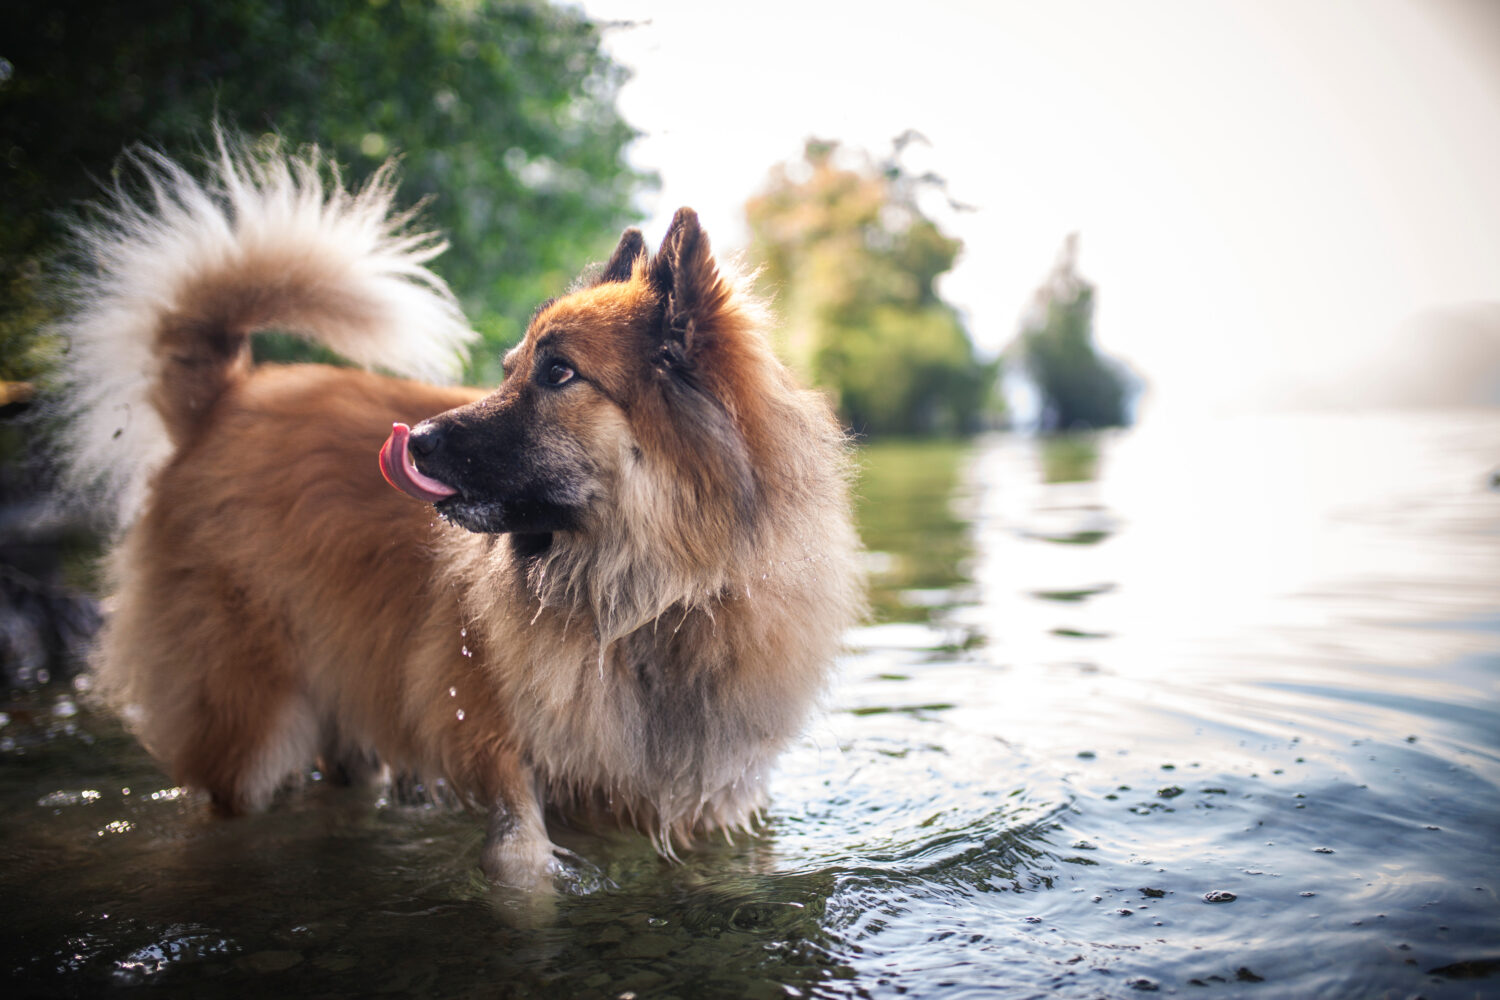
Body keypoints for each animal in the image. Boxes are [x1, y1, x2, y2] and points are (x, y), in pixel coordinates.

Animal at [58, 140, 864, 881]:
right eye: (510, 369)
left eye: (557, 372)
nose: (415, 439)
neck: (645, 603)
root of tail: (223, 400)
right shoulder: (499, 755)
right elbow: (524, 866)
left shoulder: (702, 798)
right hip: (250, 723)